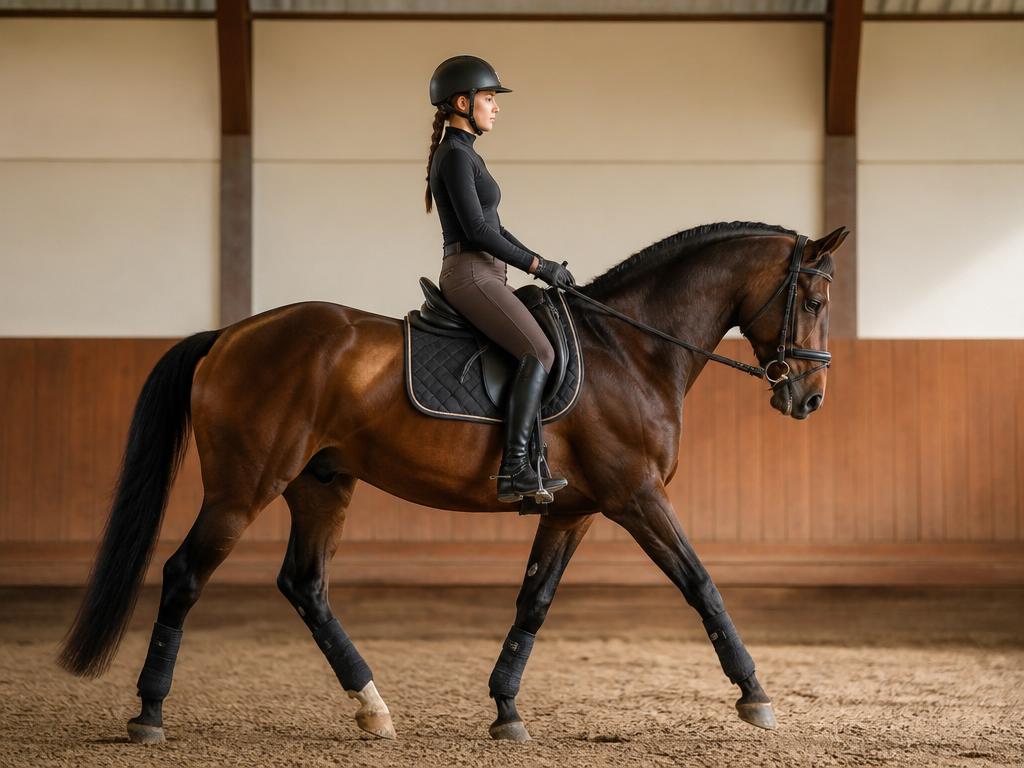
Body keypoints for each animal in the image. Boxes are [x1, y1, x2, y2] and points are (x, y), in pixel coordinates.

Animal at [57, 220, 847, 744]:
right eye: (812, 301)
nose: (809, 399)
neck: (631, 348)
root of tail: (229, 335)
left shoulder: (574, 510)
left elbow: (534, 603)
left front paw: (506, 710)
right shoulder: (637, 496)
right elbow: (701, 583)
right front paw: (755, 695)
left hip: (321, 483)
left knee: (305, 586)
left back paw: (373, 708)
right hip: (241, 488)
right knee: (185, 574)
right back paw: (149, 713)